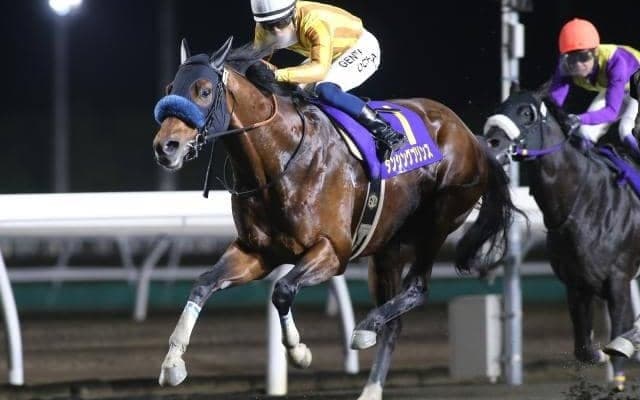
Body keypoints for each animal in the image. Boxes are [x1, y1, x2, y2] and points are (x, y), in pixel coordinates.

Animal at [152, 37, 519, 400]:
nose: (165, 146)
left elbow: (283, 289)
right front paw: (172, 363)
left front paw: (298, 352)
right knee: (394, 321)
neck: (280, 158)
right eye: (170, 87)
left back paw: (365, 329)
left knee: (417, 289)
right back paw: (371, 386)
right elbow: (203, 284)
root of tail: (471, 137)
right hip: (387, 249)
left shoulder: (333, 250)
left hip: (438, 220)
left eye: (203, 90)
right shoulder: (256, 252)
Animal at [483, 88, 640, 391]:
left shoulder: (618, 279)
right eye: (500, 106)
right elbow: (583, 349)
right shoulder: (576, 284)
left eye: (526, 112)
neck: (583, 203)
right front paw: (598, 354)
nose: (491, 144)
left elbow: (620, 332)